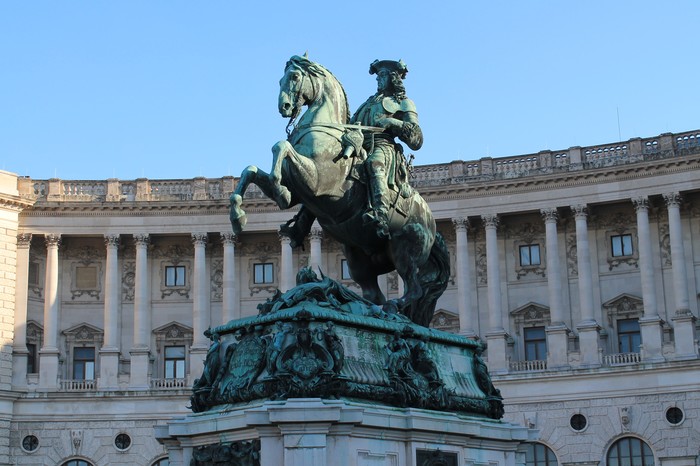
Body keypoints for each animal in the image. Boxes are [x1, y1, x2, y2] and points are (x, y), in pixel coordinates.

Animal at [230, 55, 448, 328]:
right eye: (280, 79)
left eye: (295, 76)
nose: (285, 107)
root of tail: (432, 223)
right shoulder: (299, 193)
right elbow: (251, 170)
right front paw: (238, 215)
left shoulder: (317, 181)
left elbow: (280, 147)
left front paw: (278, 185)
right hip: (358, 258)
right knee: (372, 295)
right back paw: (348, 302)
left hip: (405, 248)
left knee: (414, 289)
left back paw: (389, 306)